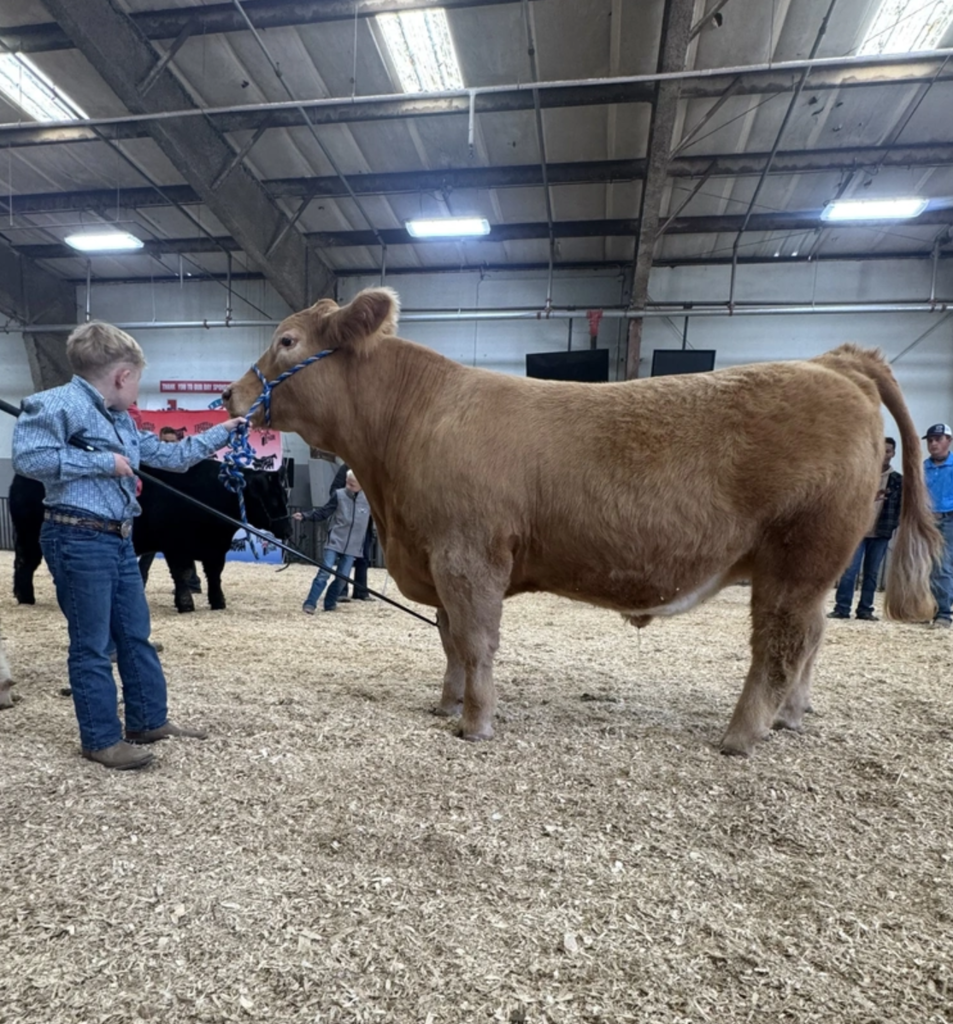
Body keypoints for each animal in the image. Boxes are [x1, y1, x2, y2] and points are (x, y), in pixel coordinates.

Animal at [10, 460, 292, 613]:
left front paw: (218, 602)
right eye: (272, 497)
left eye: (284, 495)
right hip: (29, 533)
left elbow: (215, 575)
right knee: (26, 563)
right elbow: (182, 573)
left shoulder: (215, 549)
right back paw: (26, 598)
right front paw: (185, 604)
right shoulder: (176, 545)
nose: (288, 530)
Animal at [222, 288, 940, 757]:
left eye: (287, 340)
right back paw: (789, 718)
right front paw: (447, 703)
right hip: (814, 569)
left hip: (796, 557)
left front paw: (475, 724)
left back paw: (740, 736)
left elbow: (475, 641)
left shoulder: (468, 554)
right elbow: (450, 641)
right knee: (813, 639)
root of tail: (833, 362)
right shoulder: (437, 557)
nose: (229, 395)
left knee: (779, 646)